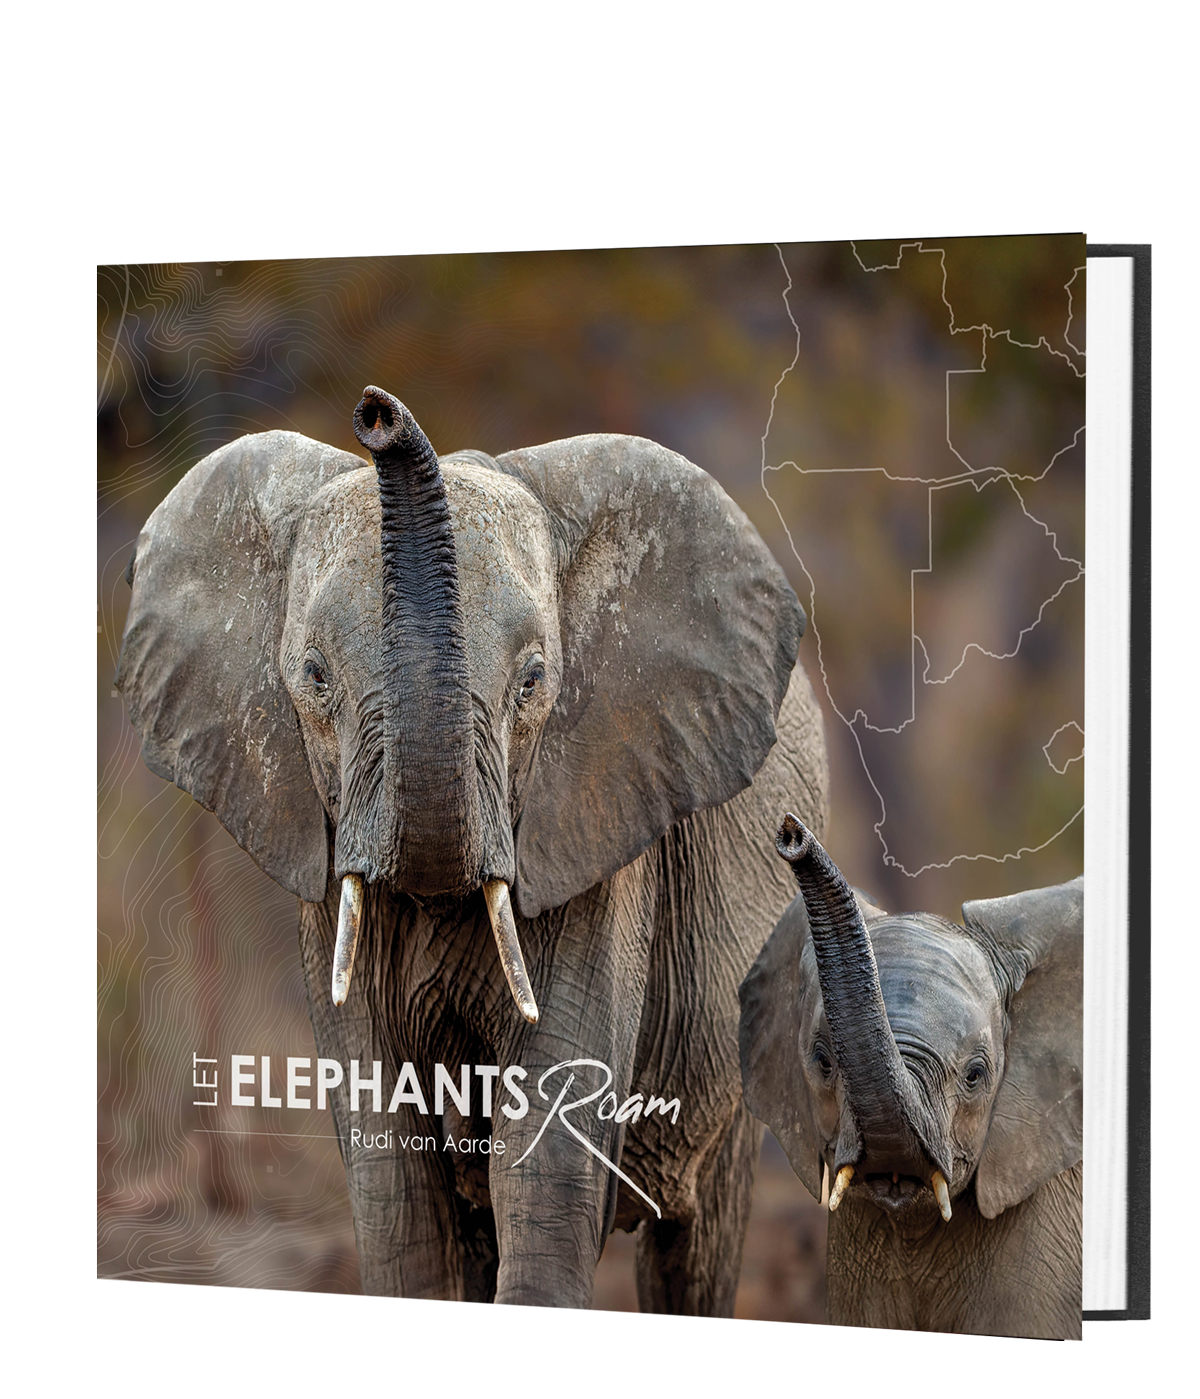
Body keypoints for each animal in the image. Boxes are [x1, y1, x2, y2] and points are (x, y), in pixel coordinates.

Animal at [116, 385, 830, 1316]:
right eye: (314, 676)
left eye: (533, 682)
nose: (377, 412)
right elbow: (394, 1185)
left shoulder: (592, 842)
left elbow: (548, 1161)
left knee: (696, 1237)